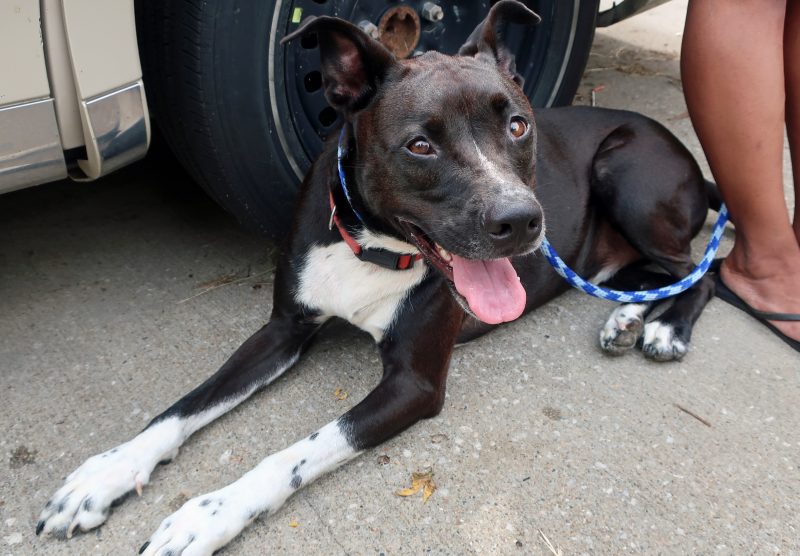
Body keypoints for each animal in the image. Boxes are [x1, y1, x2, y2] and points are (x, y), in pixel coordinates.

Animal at [36, 3, 720, 552]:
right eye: (420, 146)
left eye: (518, 125)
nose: (524, 220)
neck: (370, 248)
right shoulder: (282, 330)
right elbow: (188, 404)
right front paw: (106, 473)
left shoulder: (413, 384)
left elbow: (297, 451)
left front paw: (208, 514)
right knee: (656, 273)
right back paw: (627, 315)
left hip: (626, 172)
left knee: (703, 272)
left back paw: (664, 329)